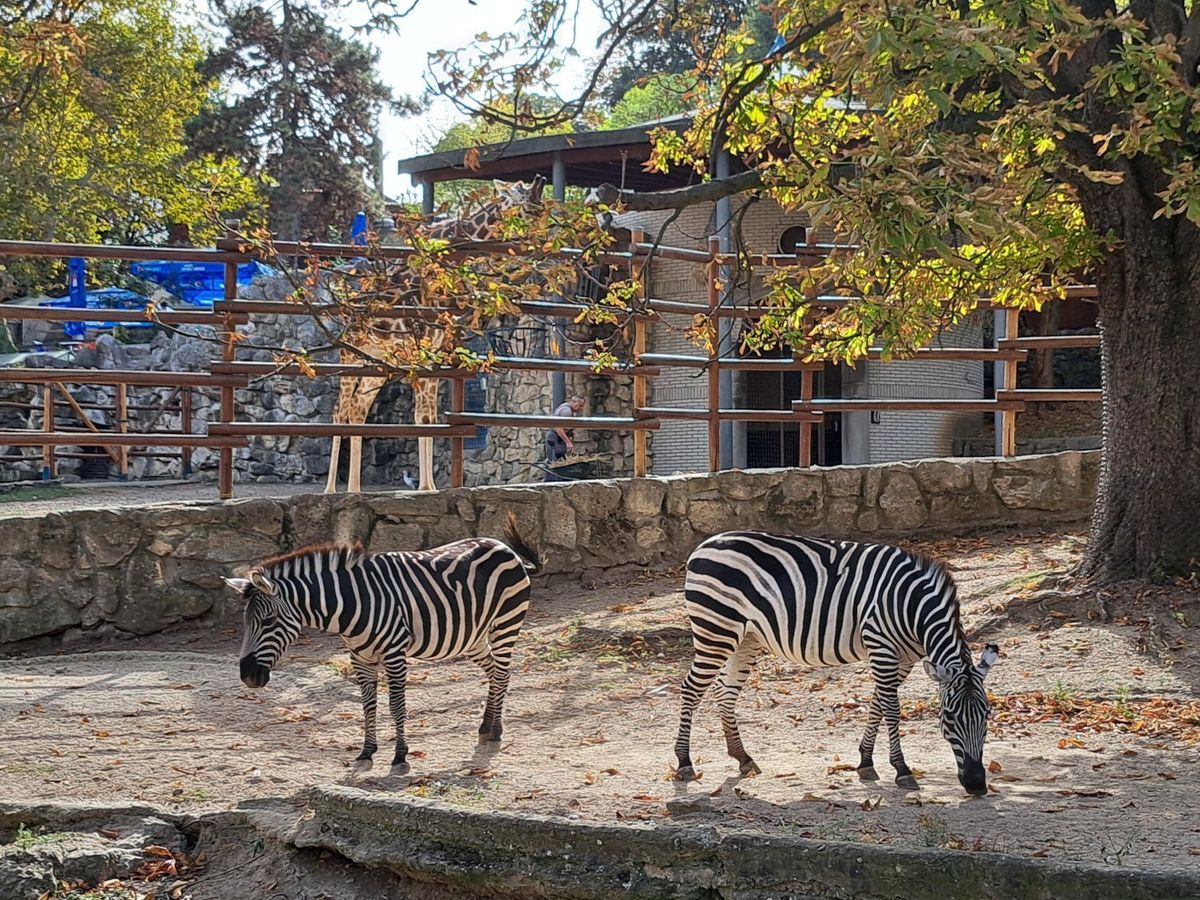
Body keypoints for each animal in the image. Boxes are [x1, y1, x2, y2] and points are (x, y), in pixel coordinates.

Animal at [224, 512, 542, 774]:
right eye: (246, 623)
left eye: (268, 622)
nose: (247, 676)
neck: (353, 604)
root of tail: (504, 547)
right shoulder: (360, 657)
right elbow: (368, 705)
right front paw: (367, 752)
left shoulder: (394, 654)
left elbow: (396, 705)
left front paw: (400, 757)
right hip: (473, 637)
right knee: (493, 673)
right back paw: (486, 726)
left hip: (506, 625)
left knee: (501, 675)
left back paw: (497, 731)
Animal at [673, 530, 999, 796]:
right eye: (950, 718)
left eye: (987, 716)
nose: (976, 784)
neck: (910, 606)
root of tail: (703, 546)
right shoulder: (881, 645)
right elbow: (891, 709)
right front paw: (902, 769)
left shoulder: (903, 658)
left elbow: (877, 704)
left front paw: (865, 761)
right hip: (716, 628)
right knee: (691, 688)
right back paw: (685, 763)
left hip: (746, 637)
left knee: (725, 691)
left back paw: (743, 757)